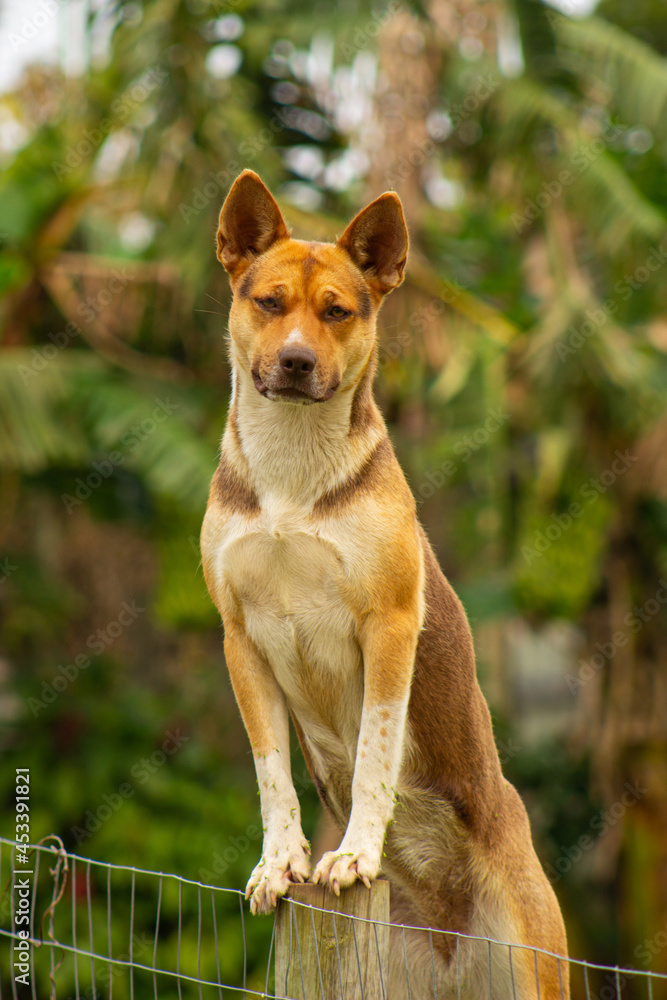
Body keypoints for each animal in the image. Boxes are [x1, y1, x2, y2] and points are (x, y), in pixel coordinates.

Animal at [200, 168, 568, 996]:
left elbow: (375, 751)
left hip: (533, 962)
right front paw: (283, 862)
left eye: (337, 311)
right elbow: (271, 772)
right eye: (267, 302)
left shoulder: (390, 624)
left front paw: (355, 853)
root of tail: (448, 938)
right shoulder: (240, 641)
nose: (296, 362)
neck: (291, 472)